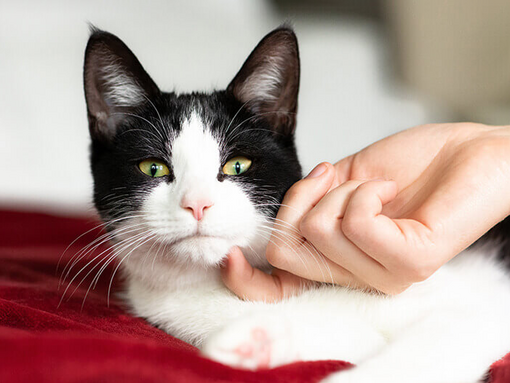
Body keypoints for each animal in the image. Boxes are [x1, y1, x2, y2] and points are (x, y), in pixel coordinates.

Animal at [81, 25, 510, 382]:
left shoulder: (478, 302)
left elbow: (440, 339)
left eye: (237, 164)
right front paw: (254, 341)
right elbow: (349, 335)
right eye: (153, 168)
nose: (197, 204)